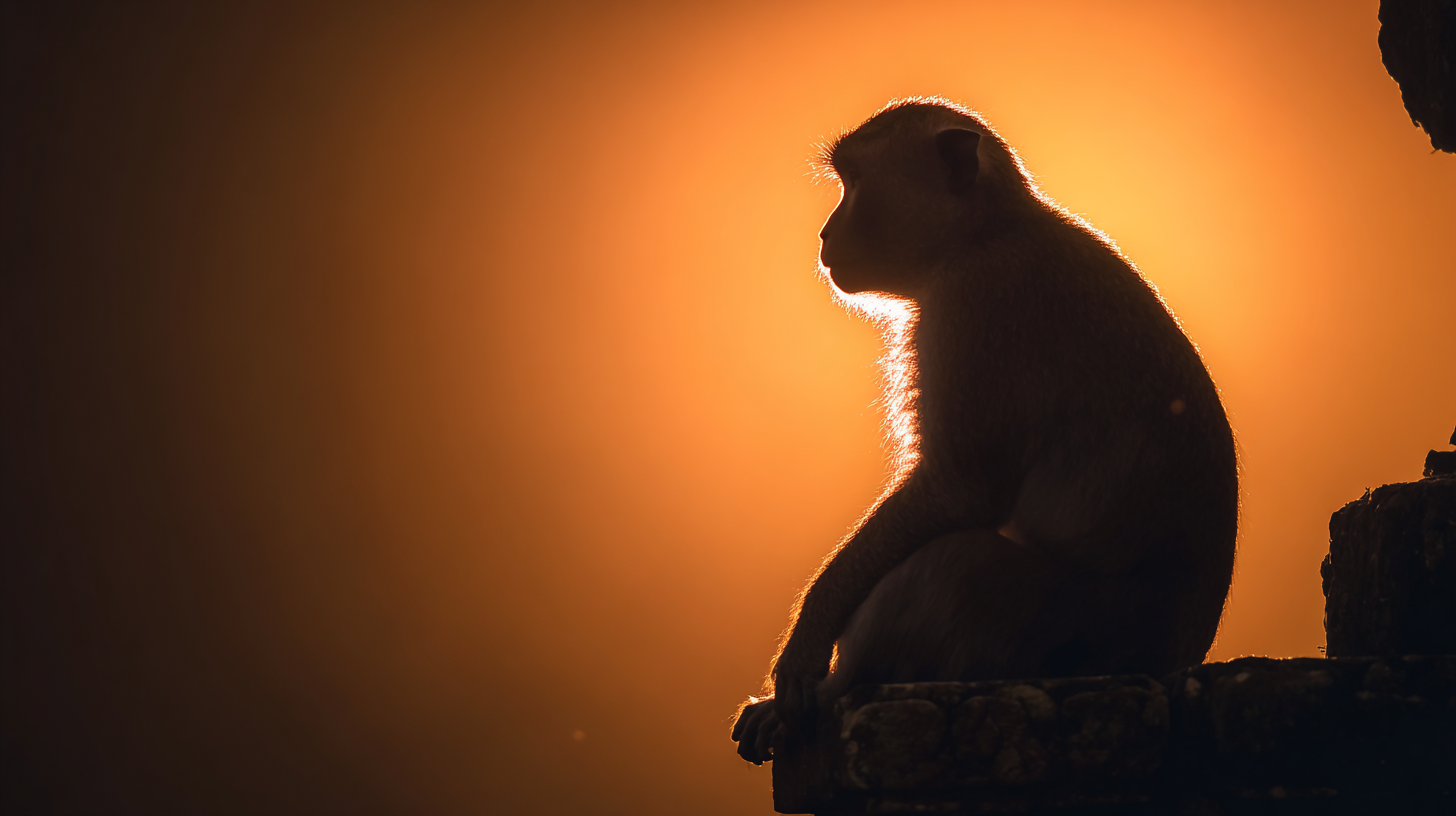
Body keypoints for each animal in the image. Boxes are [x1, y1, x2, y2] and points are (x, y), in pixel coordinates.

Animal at [732, 99, 1238, 764]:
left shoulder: (971, 305)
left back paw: (837, 688)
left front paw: (809, 643)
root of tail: (1172, 659)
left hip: (1063, 634)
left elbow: (961, 491)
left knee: (957, 563)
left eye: (857, 182)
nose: (825, 234)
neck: (985, 232)